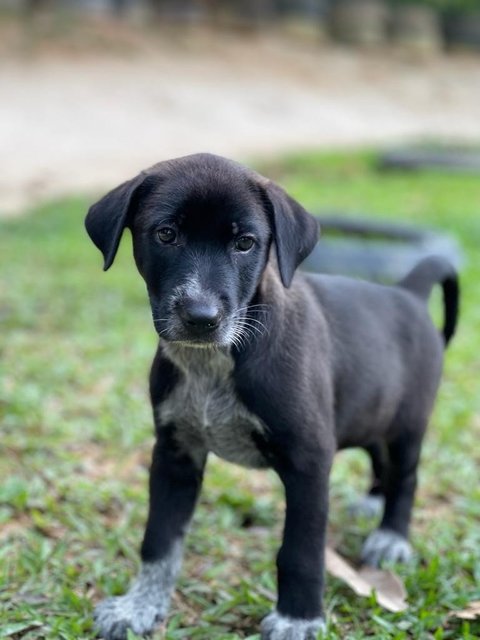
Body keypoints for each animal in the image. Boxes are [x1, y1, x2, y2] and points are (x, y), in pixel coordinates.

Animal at [85, 152, 458, 636]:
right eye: (166, 234)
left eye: (245, 243)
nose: (201, 317)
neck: (217, 361)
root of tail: (408, 294)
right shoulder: (174, 453)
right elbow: (160, 541)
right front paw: (139, 606)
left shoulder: (309, 459)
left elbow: (301, 551)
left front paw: (298, 618)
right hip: (369, 410)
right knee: (381, 458)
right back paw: (373, 501)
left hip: (408, 424)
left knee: (407, 477)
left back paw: (391, 536)